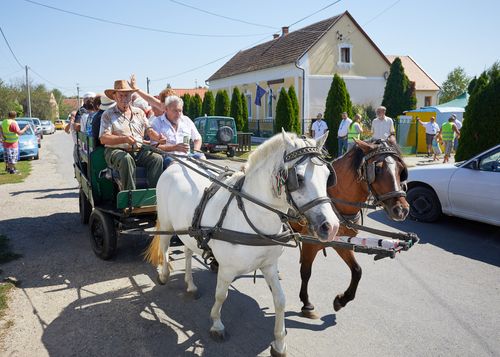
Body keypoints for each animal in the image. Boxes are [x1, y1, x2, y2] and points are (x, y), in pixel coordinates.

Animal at [145, 129, 340, 354]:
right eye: (298, 178)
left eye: (327, 177)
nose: (331, 226)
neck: (251, 213)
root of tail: (177, 164)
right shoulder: (227, 269)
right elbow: (221, 295)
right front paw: (217, 325)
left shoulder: (269, 265)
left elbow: (280, 300)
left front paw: (279, 342)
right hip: (167, 223)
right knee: (164, 245)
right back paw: (164, 274)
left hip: (189, 230)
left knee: (187, 251)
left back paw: (190, 285)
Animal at [292, 136, 410, 318]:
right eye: (377, 169)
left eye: (401, 168)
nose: (402, 210)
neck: (335, 202)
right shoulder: (310, 243)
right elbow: (306, 271)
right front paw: (306, 303)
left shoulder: (342, 242)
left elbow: (357, 270)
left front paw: (342, 300)